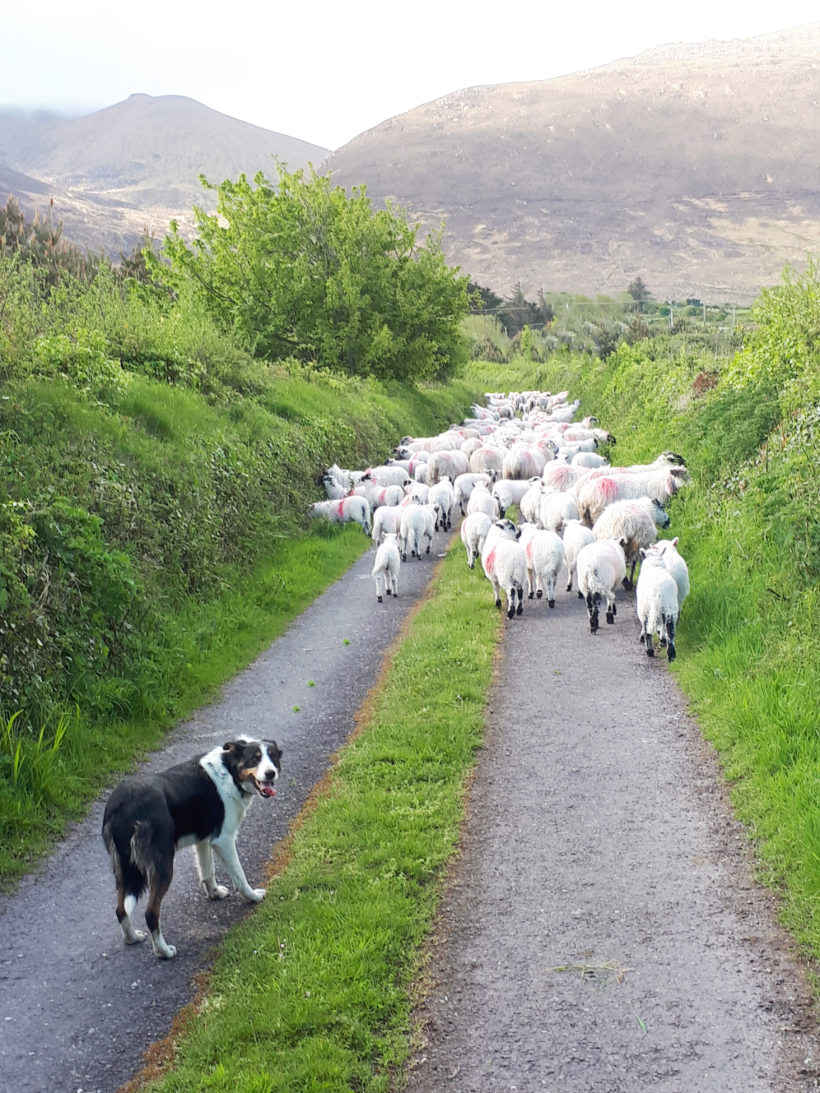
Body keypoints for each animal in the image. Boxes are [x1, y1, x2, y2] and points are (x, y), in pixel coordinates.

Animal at [102, 734, 282, 957]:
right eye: (254, 759)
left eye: (273, 757)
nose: (271, 773)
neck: (230, 772)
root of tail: (123, 806)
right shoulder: (224, 840)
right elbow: (240, 877)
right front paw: (253, 897)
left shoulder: (204, 839)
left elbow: (207, 872)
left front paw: (214, 894)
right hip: (162, 864)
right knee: (150, 913)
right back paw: (163, 951)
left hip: (124, 868)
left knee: (120, 909)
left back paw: (132, 938)